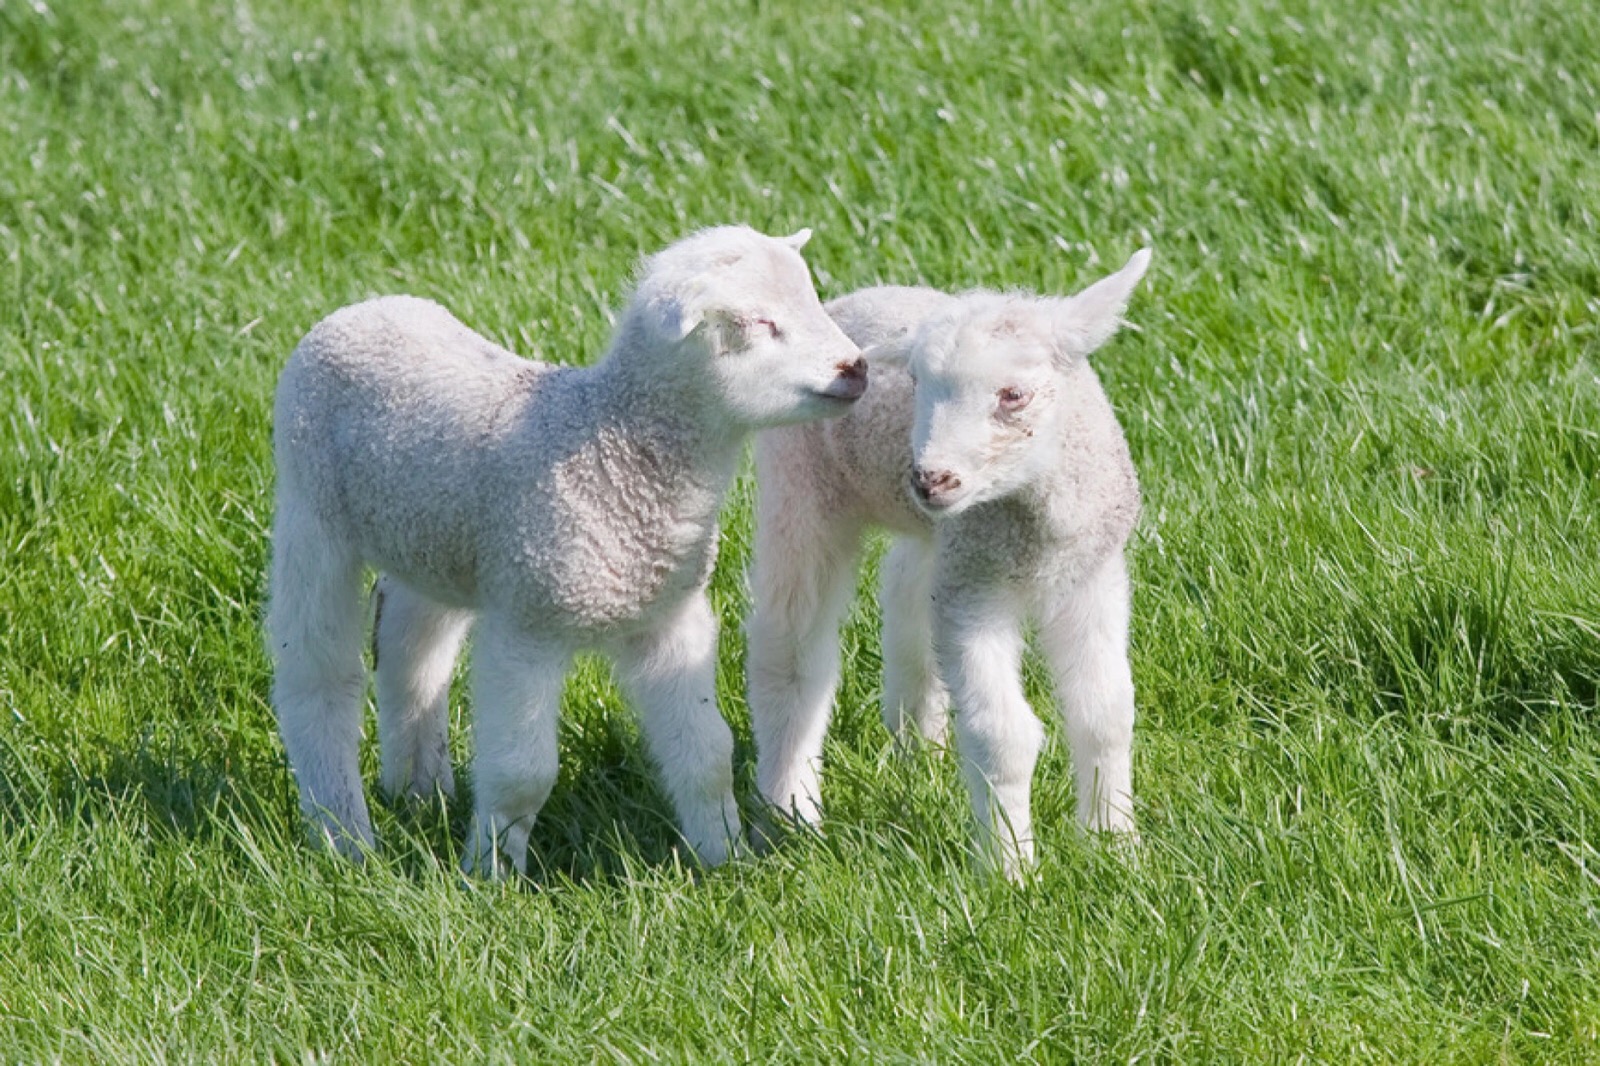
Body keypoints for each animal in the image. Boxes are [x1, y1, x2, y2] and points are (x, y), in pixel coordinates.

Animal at [264, 224, 870, 870]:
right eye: (757, 323)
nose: (857, 367)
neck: (614, 448)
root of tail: (363, 308)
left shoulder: (668, 617)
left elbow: (707, 753)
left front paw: (725, 859)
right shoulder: (527, 625)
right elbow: (520, 776)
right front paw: (489, 873)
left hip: (432, 539)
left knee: (412, 654)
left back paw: (418, 791)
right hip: (311, 510)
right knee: (317, 675)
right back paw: (343, 838)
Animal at [745, 246, 1152, 870]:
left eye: (1014, 395)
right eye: (916, 382)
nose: (930, 479)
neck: (1036, 529)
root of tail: (850, 300)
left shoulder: (1090, 575)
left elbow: (1105, 713)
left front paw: (1115, 846)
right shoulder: (974, 591)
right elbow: (1003, 735)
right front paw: (1011, 869)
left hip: (935, 540)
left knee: (905, 595)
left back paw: (918, 748)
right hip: (799, 483)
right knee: (790, 651)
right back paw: (789, 814)